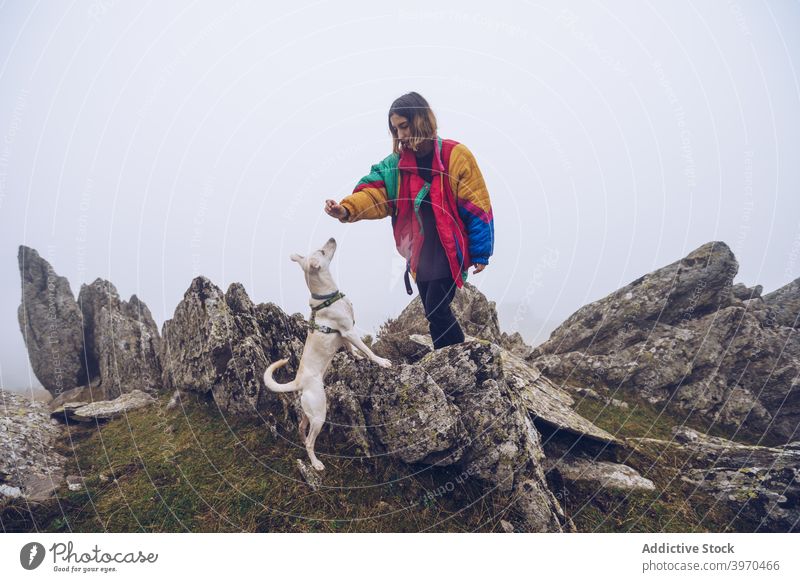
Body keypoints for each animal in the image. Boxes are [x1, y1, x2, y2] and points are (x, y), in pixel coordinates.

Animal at [264, 240, 392, 472]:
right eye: (323, 251)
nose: (332, 238)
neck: (327, 298)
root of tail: (298, 381)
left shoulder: (344, 336)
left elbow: (353, 349)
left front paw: (358, 357)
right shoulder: (349, 331)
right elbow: (368, 350)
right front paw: (380, 361)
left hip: (308, 412)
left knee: (301, 428)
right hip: (319, 413)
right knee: (309, 441)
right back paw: (315, 464)